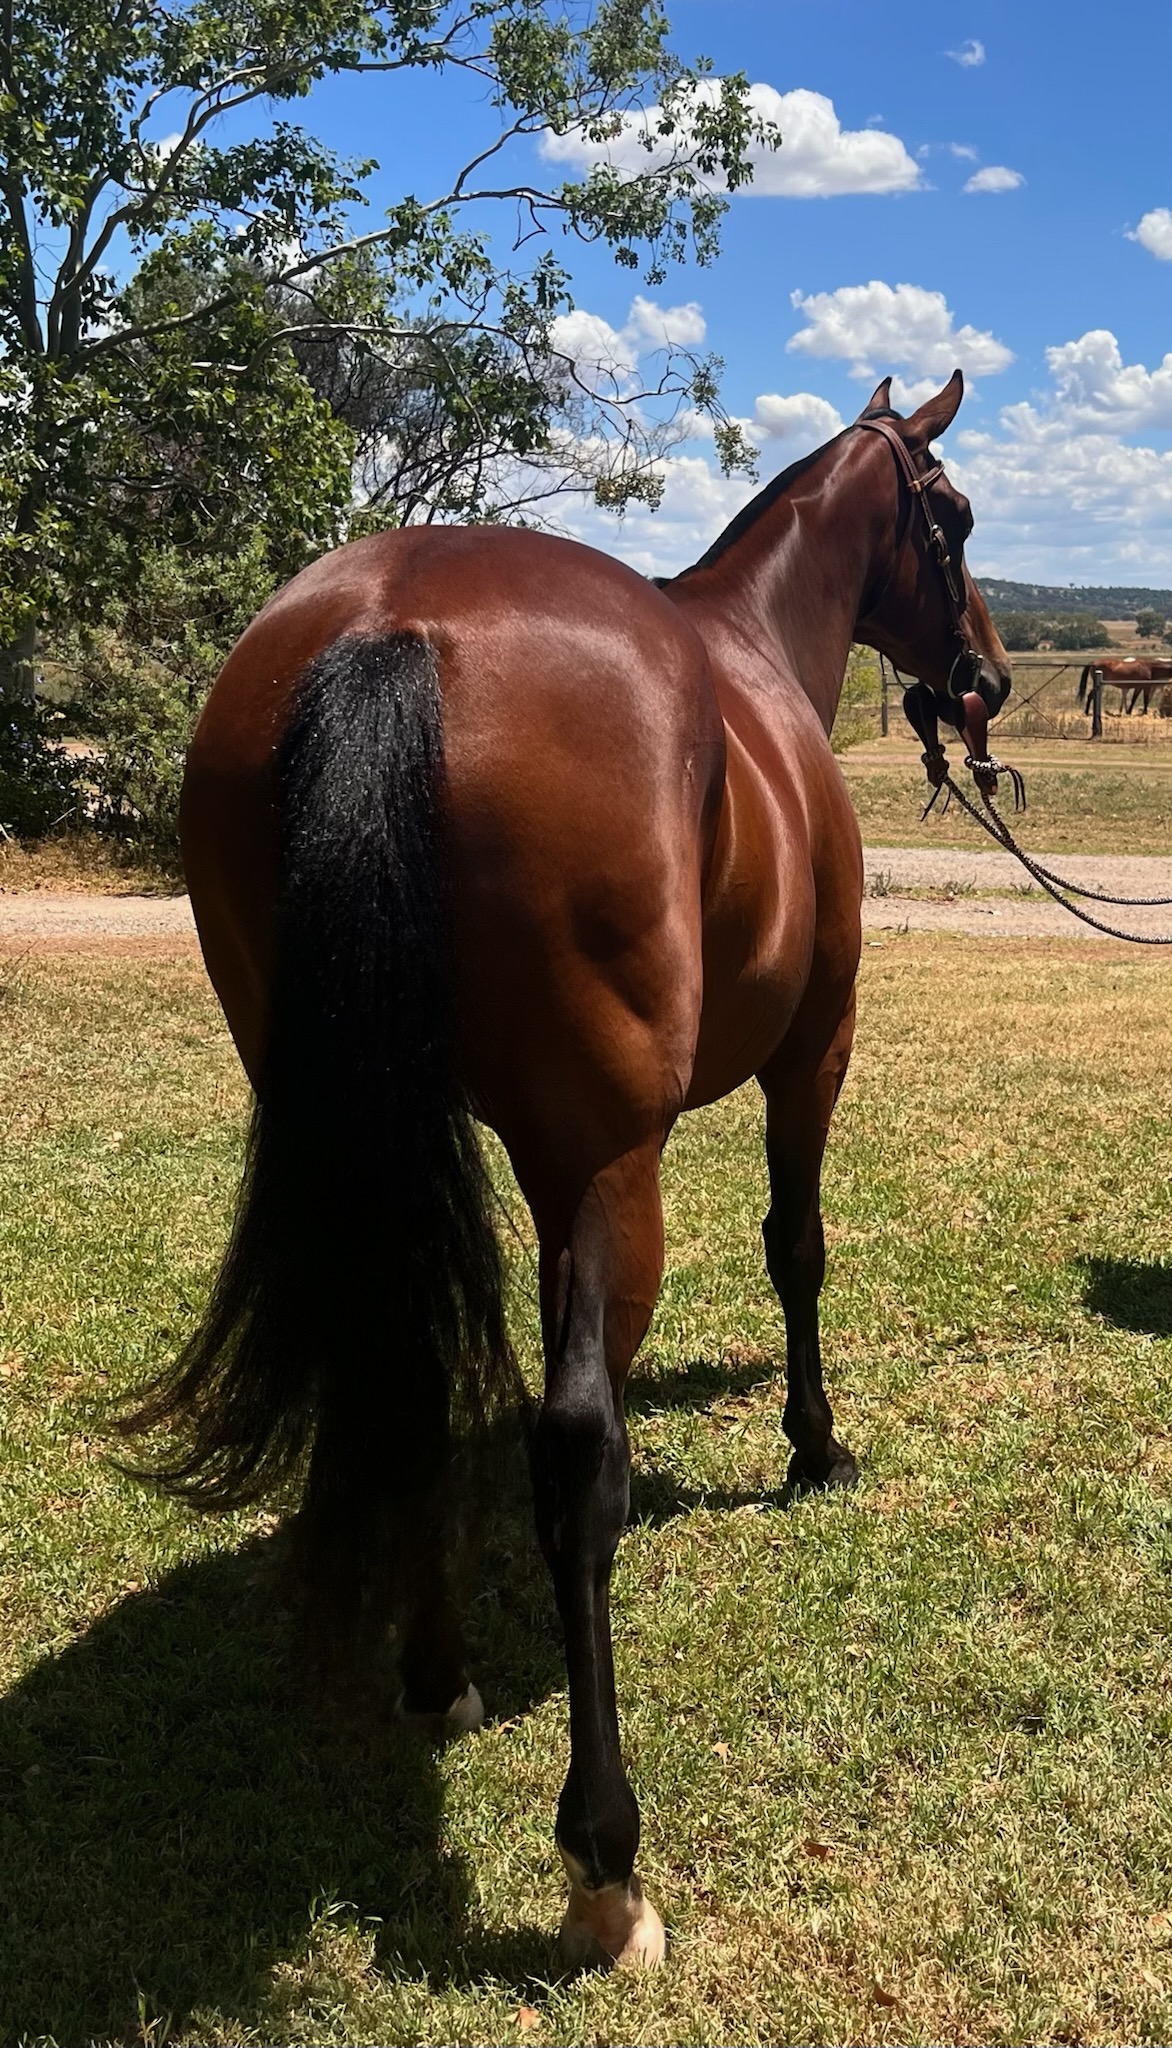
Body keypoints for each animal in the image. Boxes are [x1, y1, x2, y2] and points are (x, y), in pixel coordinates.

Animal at [125, 369, 1010, 1969]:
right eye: (952, 516)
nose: (984, 680)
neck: (750, 651)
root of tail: (389, 629)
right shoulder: (817, 1048)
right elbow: (797, 1244)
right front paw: (813, 1443)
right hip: (602, 1168)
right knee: (574, 1455)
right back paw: (606, 1859)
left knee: (404, 1381)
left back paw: (436, 1675)